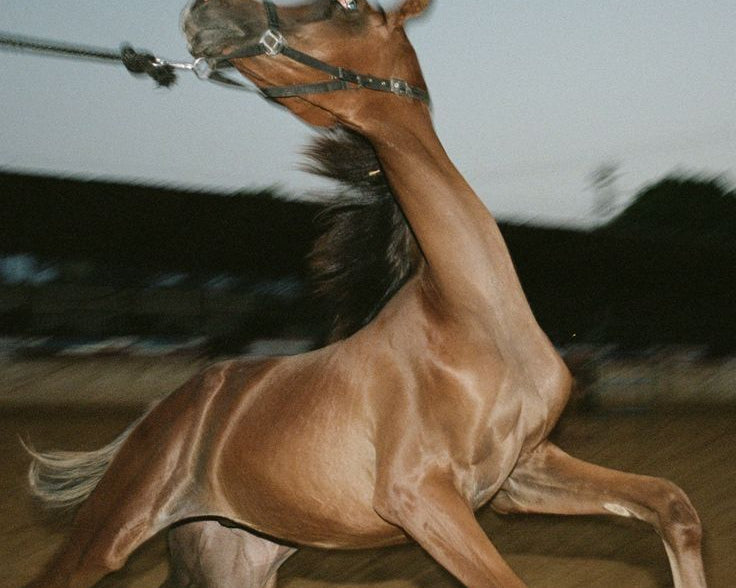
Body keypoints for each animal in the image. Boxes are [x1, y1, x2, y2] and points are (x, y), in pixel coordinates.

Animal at [23, 1, 706, 587]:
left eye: (347, 5)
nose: (206, 13)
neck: (475, 317)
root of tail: (158, 416)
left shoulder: (520, 474)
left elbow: (673, 505)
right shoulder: (420, 498)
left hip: (236, 554)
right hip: (112, 532)